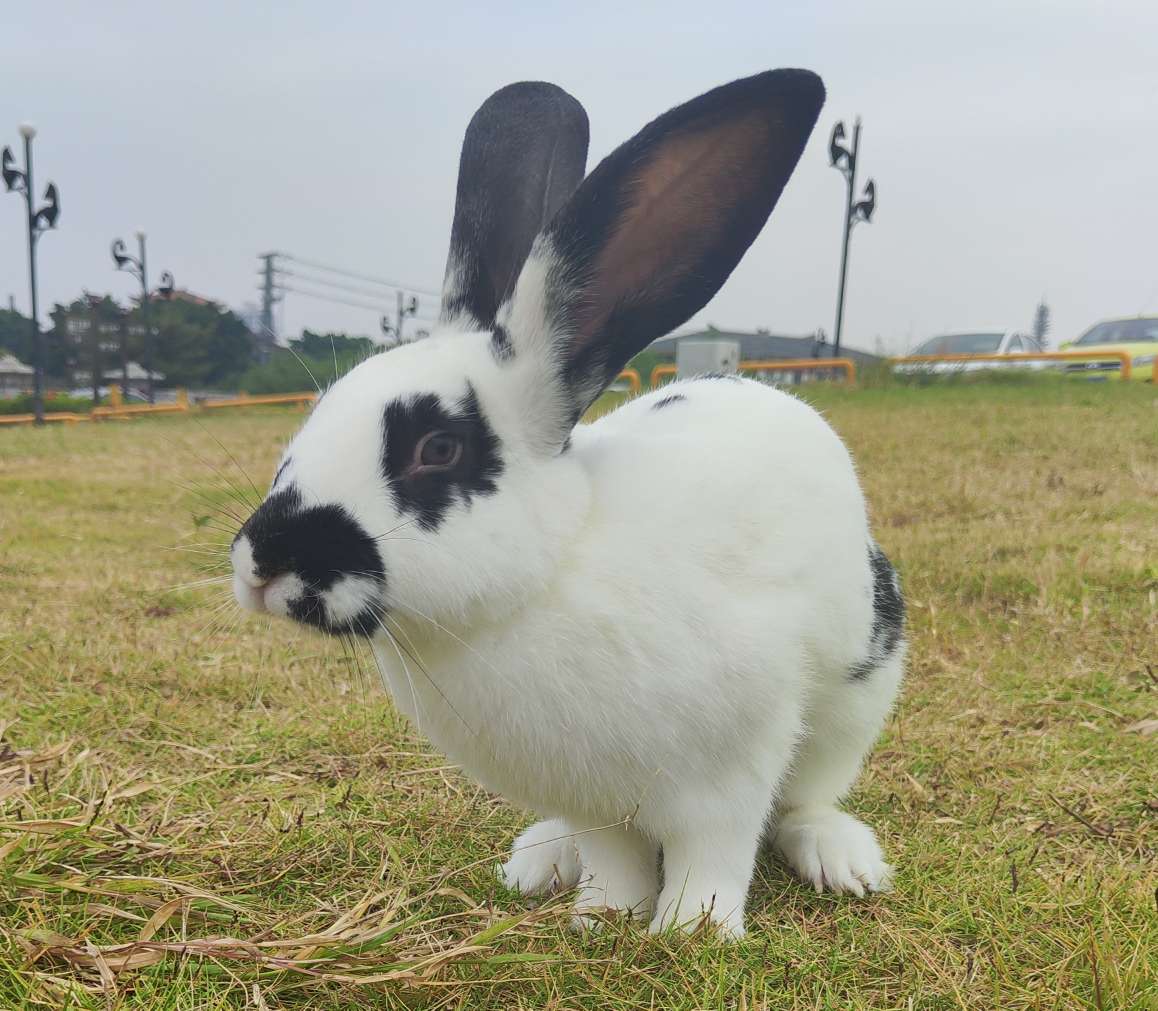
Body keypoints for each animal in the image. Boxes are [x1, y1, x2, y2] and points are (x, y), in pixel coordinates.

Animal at [231, 71, 906, 938]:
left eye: (436, 450)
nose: (260, 562)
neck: (546, 575)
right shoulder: (595, 802)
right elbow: (614, 858)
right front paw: (605, 914)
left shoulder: (730, 772)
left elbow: (717, 851)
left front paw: (693, 929)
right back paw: (538, 859)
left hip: (856, 696)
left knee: (804, 800)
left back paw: (840, 859)